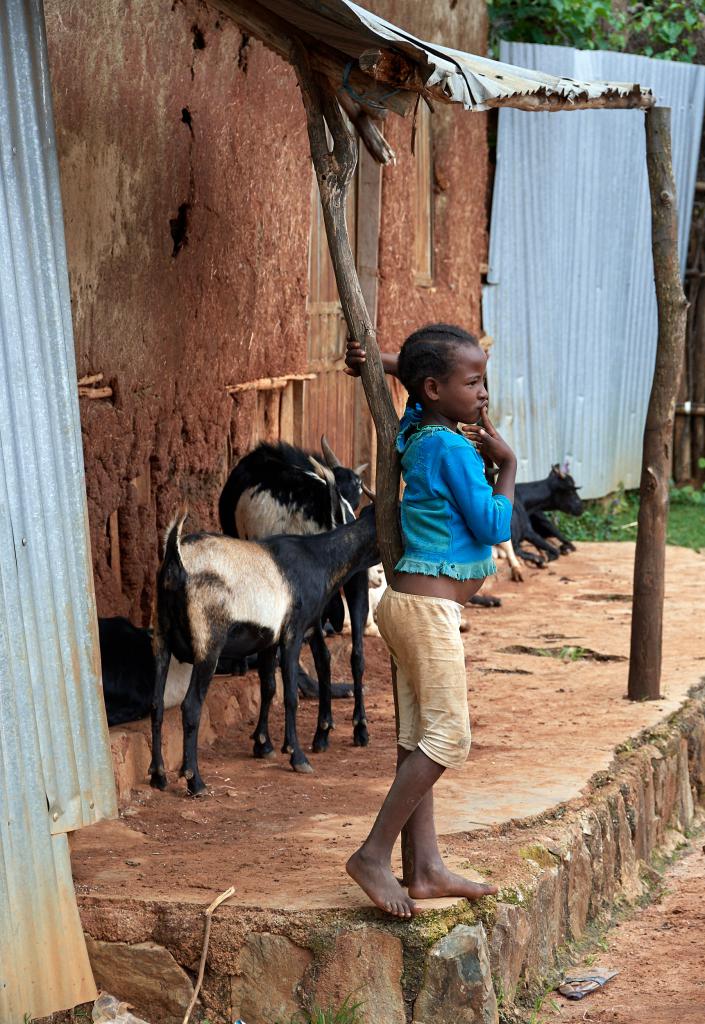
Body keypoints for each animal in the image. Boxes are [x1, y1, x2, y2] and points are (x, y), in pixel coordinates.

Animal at [149, 507, 379, 794]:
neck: (317, 558)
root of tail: (175, 556)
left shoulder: (269, 639)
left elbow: (268, 687)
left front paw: (263, 745)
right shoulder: (293, 632)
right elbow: (289, 695)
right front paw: (297, 757)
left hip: (160, 636)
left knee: (156, 704)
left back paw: (158, 776)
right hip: (208, 644)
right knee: (191, 705)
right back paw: (196, 781)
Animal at [217, 438, 370, 720]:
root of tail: (329, 505)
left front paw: (239, 665)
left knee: (320, 655)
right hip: (356, 582)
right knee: (356, 652)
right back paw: (357, 720)